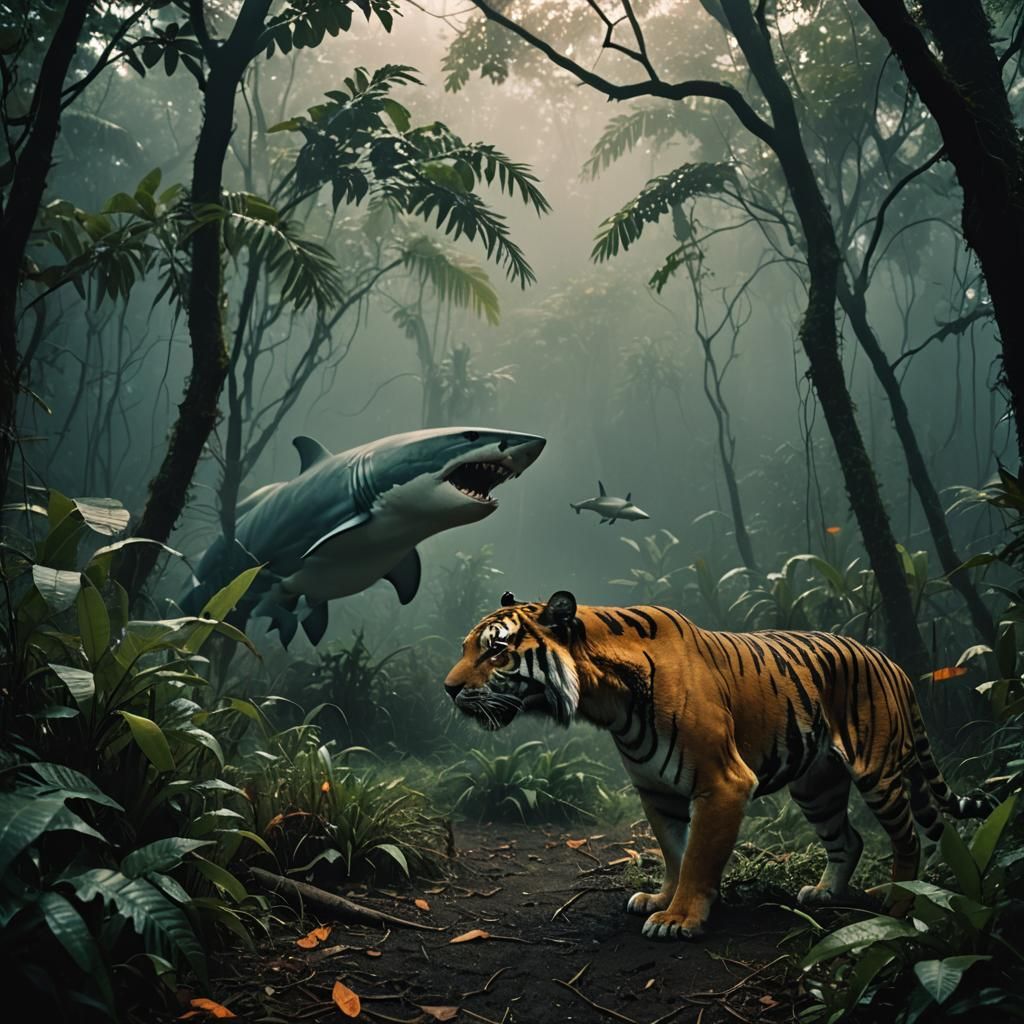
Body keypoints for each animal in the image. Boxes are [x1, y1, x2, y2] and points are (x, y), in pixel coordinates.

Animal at [443, 589, 994, 940]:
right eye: (466, 646)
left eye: (496, 650)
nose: (448, 688)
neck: (606, 700)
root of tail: (893, 662)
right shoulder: (656, 791)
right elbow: (674, 851)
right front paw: (660, 899)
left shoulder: (724, 783)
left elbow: (699, 856)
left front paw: (678, 918)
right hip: (817, 785)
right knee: (850, 839)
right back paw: (822, 894)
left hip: (877, 773)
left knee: (910, 838)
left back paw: (901, 903)